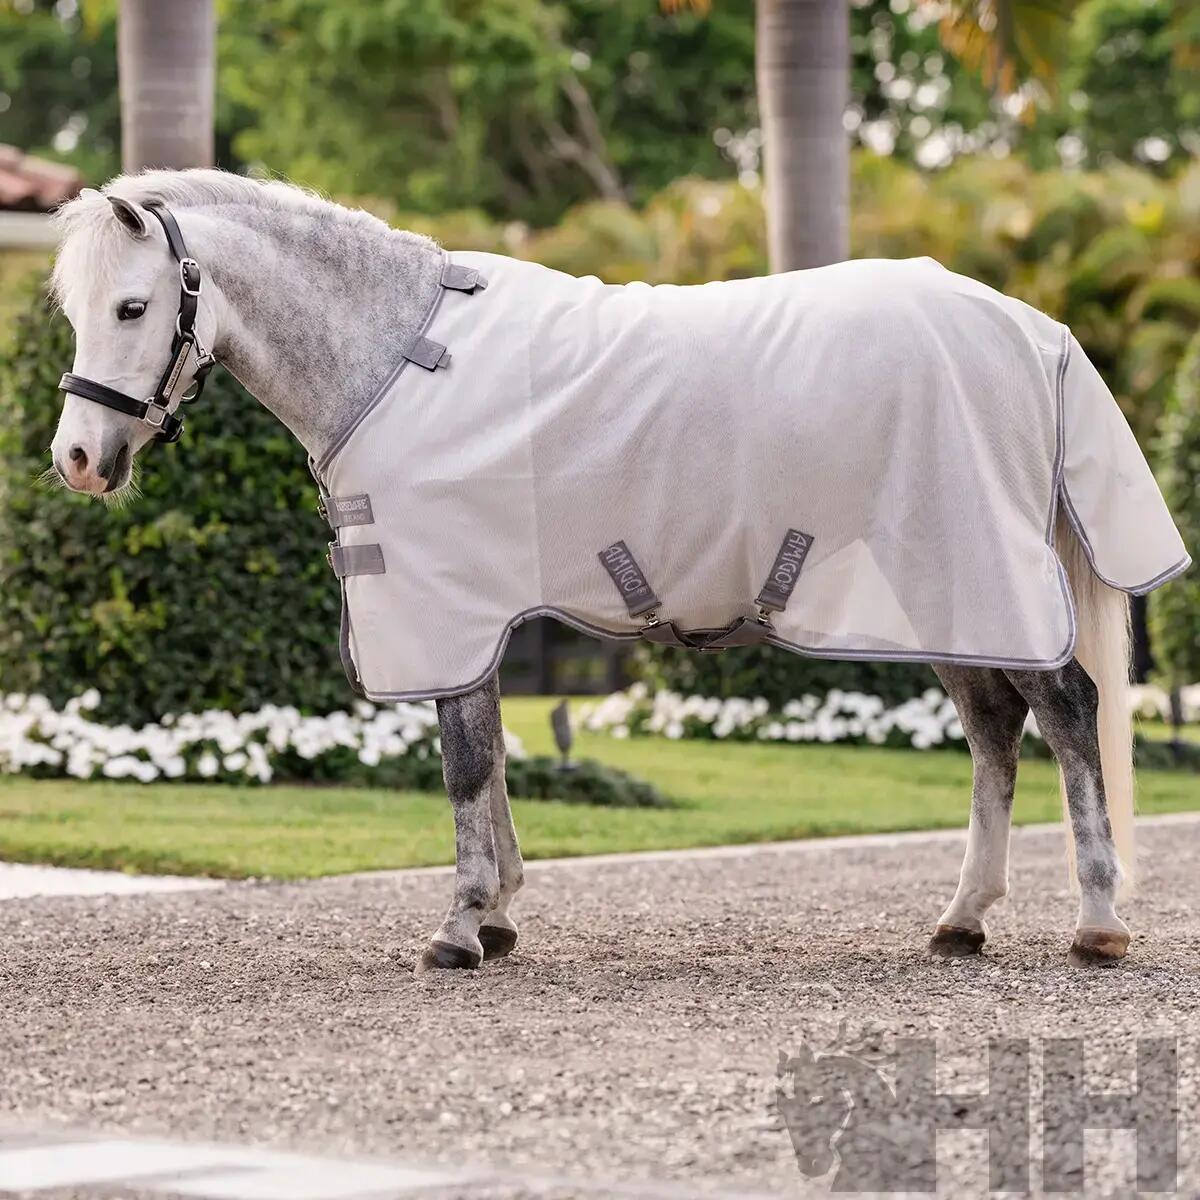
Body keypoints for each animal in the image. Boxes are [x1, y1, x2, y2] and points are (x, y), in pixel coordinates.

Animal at [46, 170, 1189, 974]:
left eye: (134, 307)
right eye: (73, 309)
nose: (78, 460)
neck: (398, 359)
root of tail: (1032, 330)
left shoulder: (449, 607)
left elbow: (464, 765)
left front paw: (460, 927)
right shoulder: (480, 616)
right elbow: (493, 763)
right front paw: (500, 915)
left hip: (978, 575)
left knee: (1069, 713)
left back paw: (1097, 919)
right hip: (947, 595)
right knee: (997, 732)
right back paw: (961, 920)